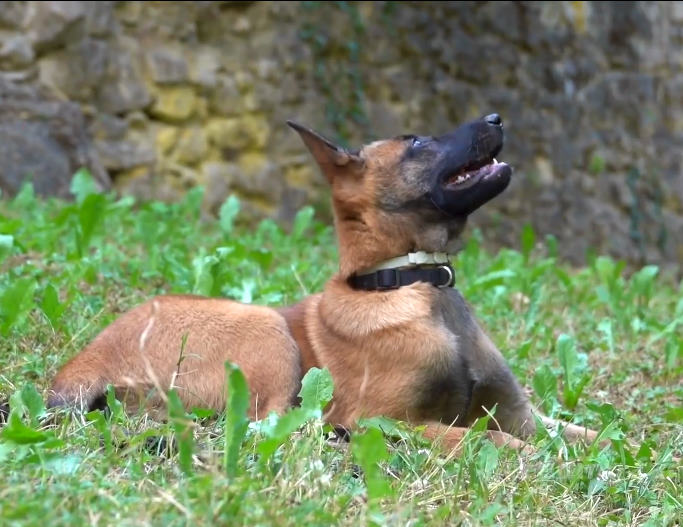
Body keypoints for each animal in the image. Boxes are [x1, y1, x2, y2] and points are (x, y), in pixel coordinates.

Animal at [44, 113, 600, 456]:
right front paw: (536, 461)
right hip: (266, 330)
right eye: (416, 142)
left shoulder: (521, 413)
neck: (411, 282)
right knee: (268, 427)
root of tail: (81, 364)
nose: (496, 118)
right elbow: (486, 440)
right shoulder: (380, 418)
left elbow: (587, 435)